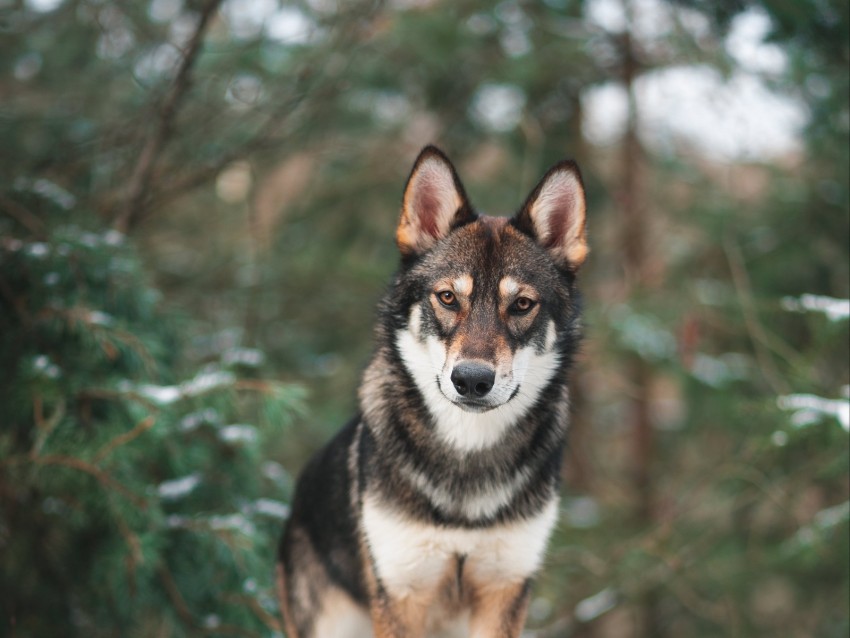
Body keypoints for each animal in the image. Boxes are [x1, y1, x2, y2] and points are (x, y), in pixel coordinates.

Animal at [274, 146, 588, 638]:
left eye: (521, 304)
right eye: (447, 298)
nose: (472, 380)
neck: (466, 455)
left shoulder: (505, 591)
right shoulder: (402, 594)